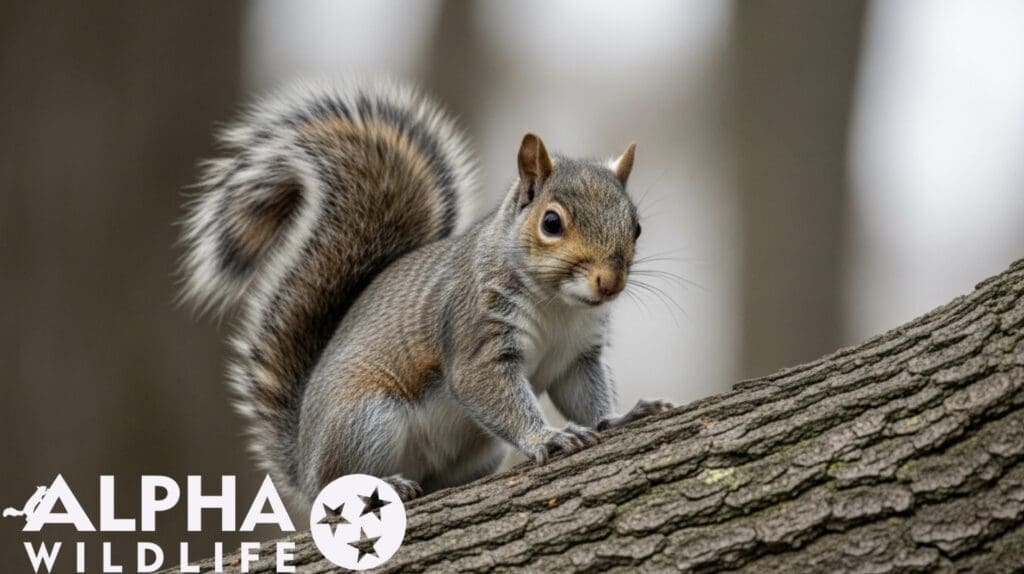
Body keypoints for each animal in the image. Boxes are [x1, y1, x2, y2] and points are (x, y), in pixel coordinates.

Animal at [181, 80, 673, 503]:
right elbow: (486, 387)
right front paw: (547, 437)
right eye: (551, 222)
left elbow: (585, 396)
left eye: (636, 226)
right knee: (333, 486)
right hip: (367, 420)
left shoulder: (577, 356)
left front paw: (620, 416)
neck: (560, 306)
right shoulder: (476, 332)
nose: (610, 282)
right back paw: (382, 485)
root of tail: (303, 461)